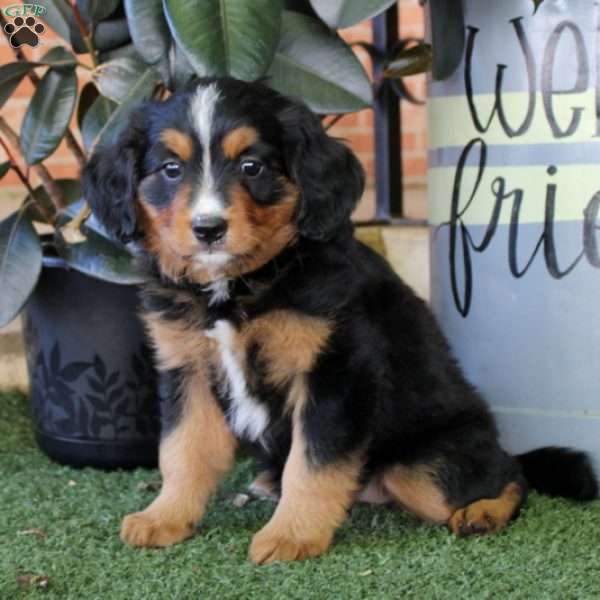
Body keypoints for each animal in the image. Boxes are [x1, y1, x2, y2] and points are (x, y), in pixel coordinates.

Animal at [82, 78, 596, 564]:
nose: (208, 229)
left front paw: (291, 535)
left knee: (511, 474)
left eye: (252, 167)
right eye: (171, 169)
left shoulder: (335, 371)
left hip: (421, 469)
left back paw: (482, 512)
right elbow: (182, 451)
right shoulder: (186, 368)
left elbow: (313, 463)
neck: (238, 288)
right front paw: (165, 517)